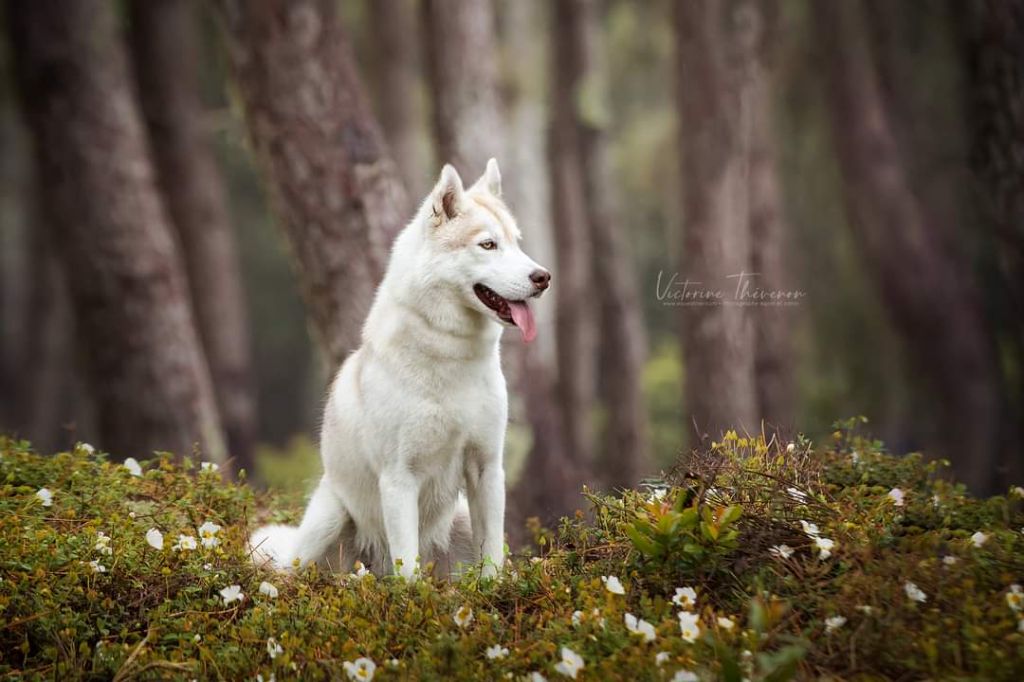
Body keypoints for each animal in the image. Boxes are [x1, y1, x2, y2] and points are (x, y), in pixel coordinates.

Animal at [248, 160, 552, 577]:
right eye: (488, 245)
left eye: (517, 242)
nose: (543, 277)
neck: (450, 356)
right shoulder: (399, 478)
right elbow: (407, 570)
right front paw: (412, 592)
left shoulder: (488, 468)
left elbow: (491, 553)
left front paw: (494, 589)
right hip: (326, 524)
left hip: (458, 517)